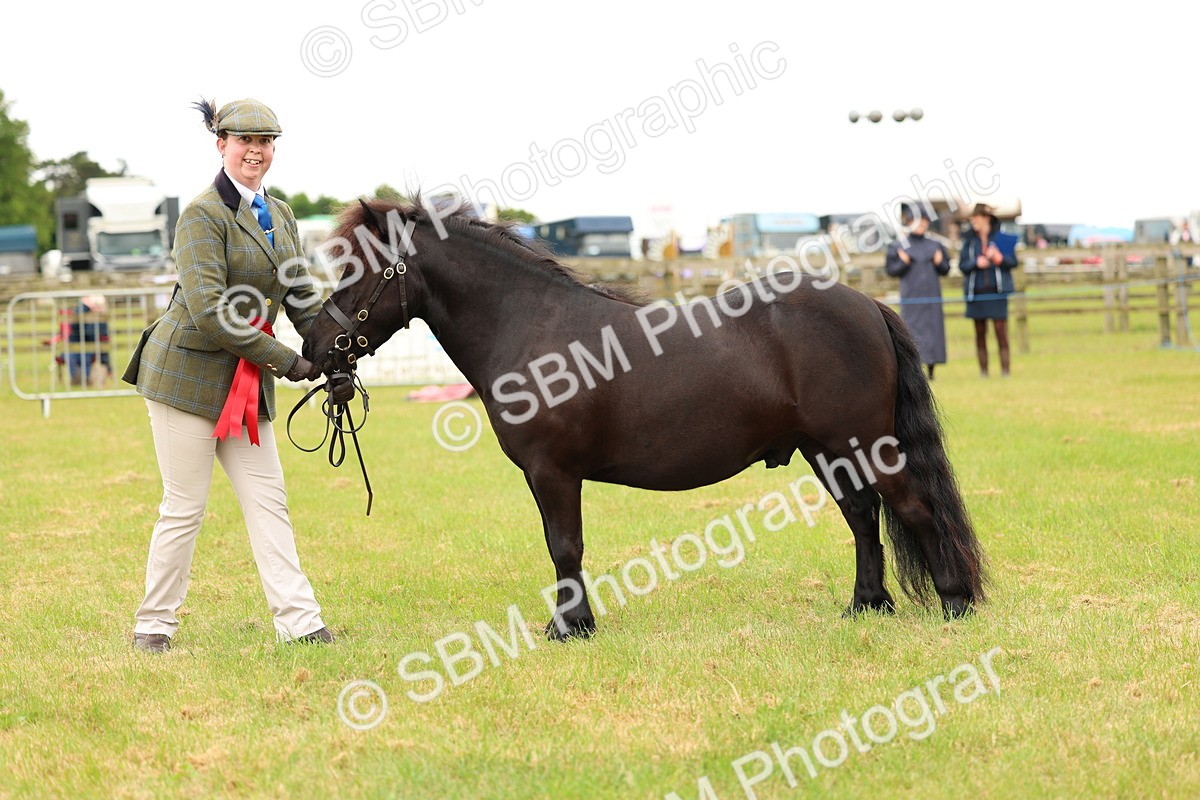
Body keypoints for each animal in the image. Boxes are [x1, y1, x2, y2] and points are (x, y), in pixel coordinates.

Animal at [301, 198, 987, 638]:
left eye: (359, 269)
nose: (314, 346)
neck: (531, 326)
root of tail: (868, 303)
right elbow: (562, 545)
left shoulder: (552, 472)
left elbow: (564, 544)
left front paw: (570, 628)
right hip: (828, 450)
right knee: (863, 518)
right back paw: (866, 607)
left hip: (864, 443)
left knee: (912, 508)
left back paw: (954, 606)